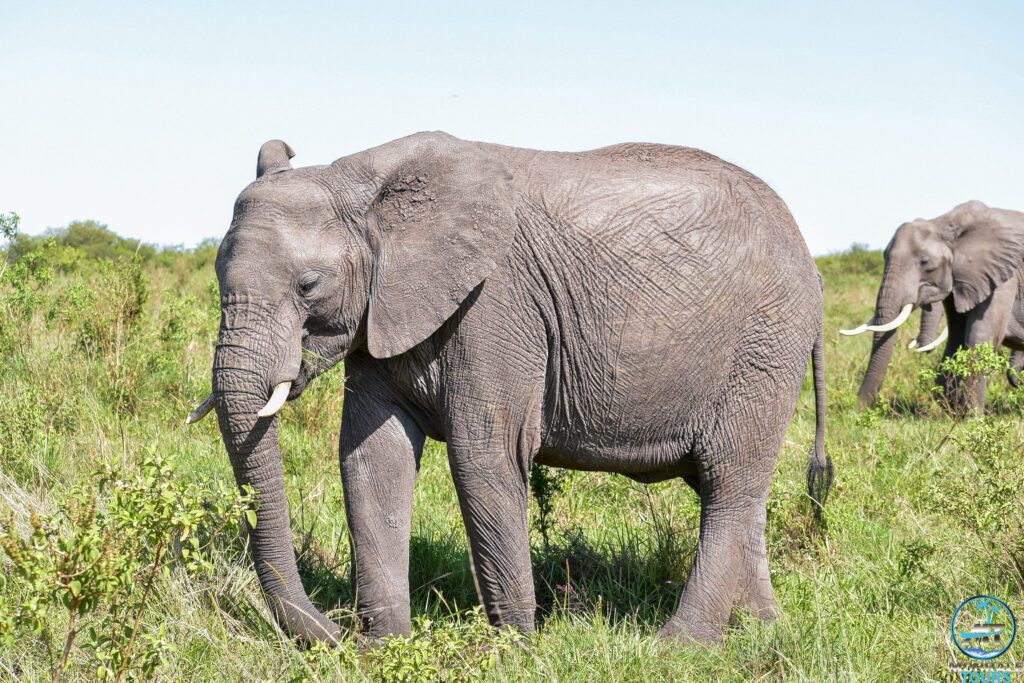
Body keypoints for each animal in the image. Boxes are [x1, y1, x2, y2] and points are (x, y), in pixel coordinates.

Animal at [186, 132, 831, 647]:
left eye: (308, 285)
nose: (338, 633)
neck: (365, 182)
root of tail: (810, 257)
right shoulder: (381, 313)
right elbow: (371, 458)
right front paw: (389, 648)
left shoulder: (495, 306)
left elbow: (485, 456)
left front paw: (516, 649)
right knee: (737, 494)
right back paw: (763, 630)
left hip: (764, 345)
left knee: (728, 484)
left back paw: (678, 647)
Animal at [839, 200, 1024, 409]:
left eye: (925, 262)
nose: (853, 408)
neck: (943, 223)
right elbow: (956, 338)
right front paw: (950, 407)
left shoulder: (1004, 277)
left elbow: (979, 338)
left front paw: (972, 415)